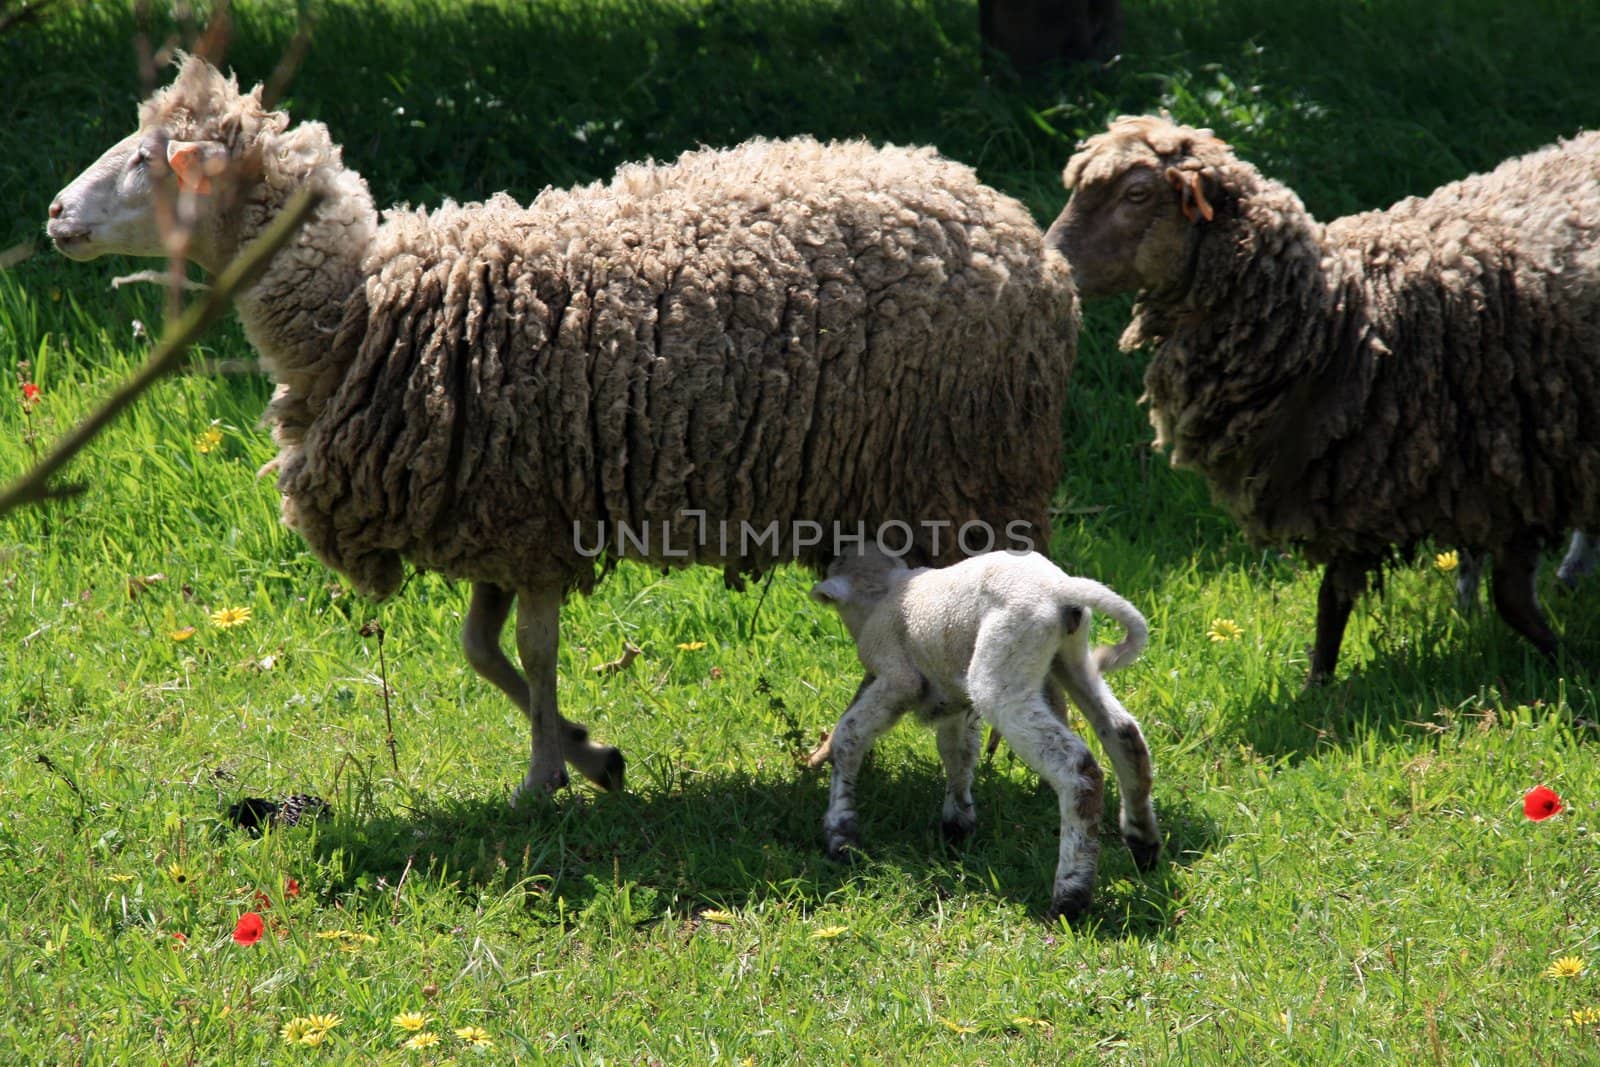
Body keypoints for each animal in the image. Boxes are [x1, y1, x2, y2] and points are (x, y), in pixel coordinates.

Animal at [50, 54, 1081, 796]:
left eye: (147, 160)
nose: (55, 212)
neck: (362, 307)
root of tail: (1020, 231)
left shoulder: (532, 515)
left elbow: (535, 654)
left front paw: (546, 776)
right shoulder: (493, 519)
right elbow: (480, 650)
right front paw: (590, 753)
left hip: (965, 473)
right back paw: (838, 748)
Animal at [806, 547, 1158, 921]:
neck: (883, 591)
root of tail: (1060, 589)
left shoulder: (898, 679)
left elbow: (849, 736)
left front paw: (841, 833)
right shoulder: (953, 696)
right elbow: (957, 752)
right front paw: (957, 824)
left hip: (1004, 665)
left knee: (1078, 769)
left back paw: (1070, 897)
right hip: (1071, 658)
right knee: (1123, 732)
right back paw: (1143, 843)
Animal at [1043, 116, 1600, 684]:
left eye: (1136, 194)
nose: (1052, 261)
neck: (1339, 315)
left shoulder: (1517, 474)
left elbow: (1511, 598)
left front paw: (1569, 664)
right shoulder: (1350, 488)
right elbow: (1332, 598)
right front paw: (1319, 685)